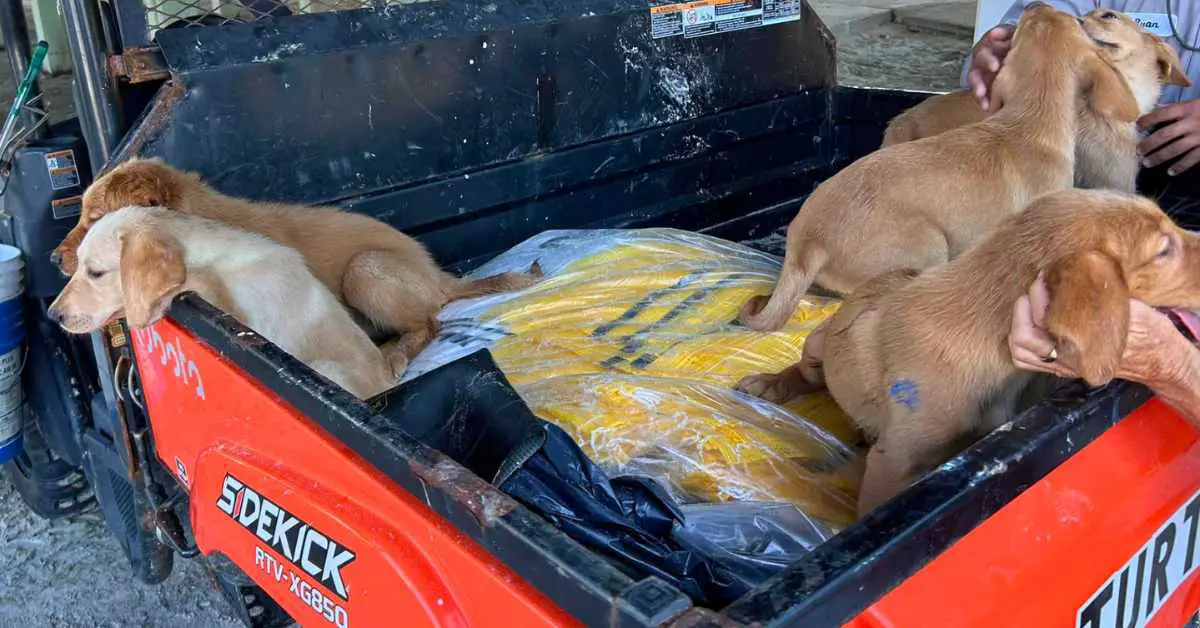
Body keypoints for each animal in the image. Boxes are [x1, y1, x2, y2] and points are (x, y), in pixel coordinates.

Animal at [51, 159, 540, 377]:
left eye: (94, 217)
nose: (54, 259)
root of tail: (440, 273)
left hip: (365, 269)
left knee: (430, 322)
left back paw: (395, 354)